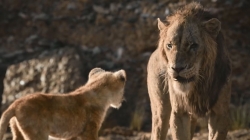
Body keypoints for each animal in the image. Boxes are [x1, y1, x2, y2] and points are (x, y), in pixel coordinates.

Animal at [147, 2, 231, 140]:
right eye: (169, 45)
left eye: (193, 45)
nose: (177, 68)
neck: (199, 85)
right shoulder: (179, 112)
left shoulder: (220, 113)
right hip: (160, 109)